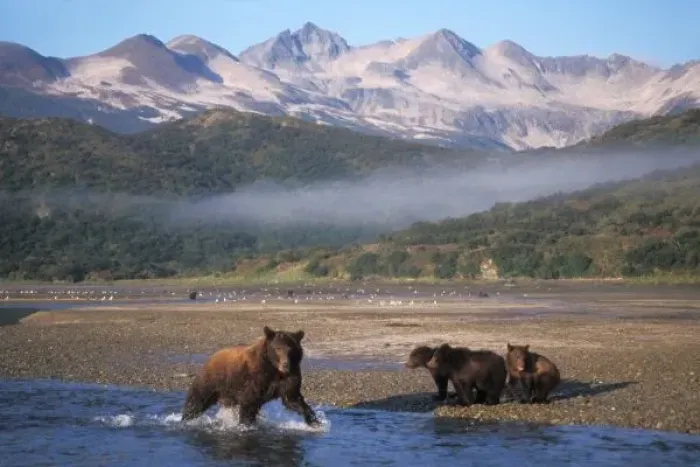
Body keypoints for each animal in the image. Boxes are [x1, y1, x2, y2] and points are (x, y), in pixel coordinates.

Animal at [181, 326, 320, 427]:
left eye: (290, 349)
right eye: (277, 348)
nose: (285, 364)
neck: (274, 368)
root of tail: (211, 356)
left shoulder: (289, 377)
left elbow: (292, 398)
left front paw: (315, 421)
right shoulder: (256, 377)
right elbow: (249, 401)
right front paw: (245, 425)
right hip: (212, 380)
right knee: (197, 400)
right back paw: (186, 418)